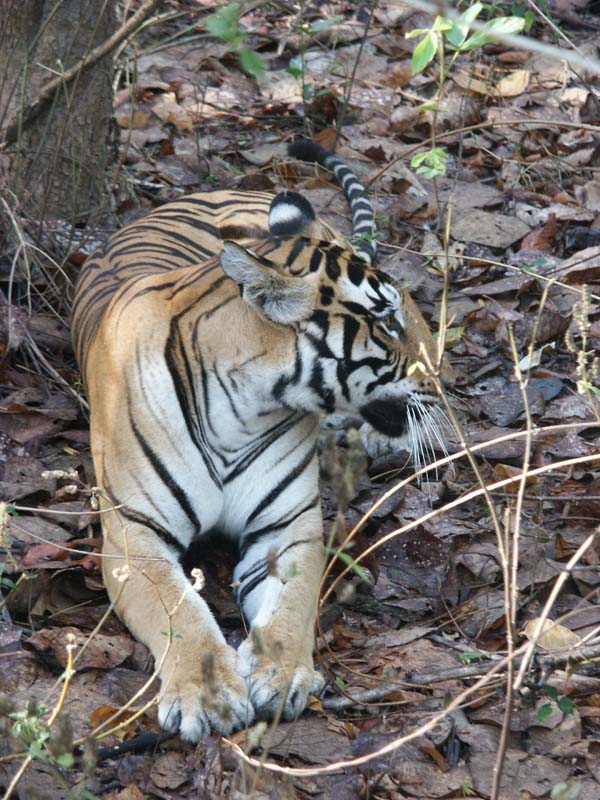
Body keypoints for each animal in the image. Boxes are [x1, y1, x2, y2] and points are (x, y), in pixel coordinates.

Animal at [71, 139, 450, 744]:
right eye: (386, 322)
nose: (441, 376)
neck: (244, 408)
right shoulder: (135, 534)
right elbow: (179, 611)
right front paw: (207, 694)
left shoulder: (287, 525)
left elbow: (294, 603)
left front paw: (282, 672)